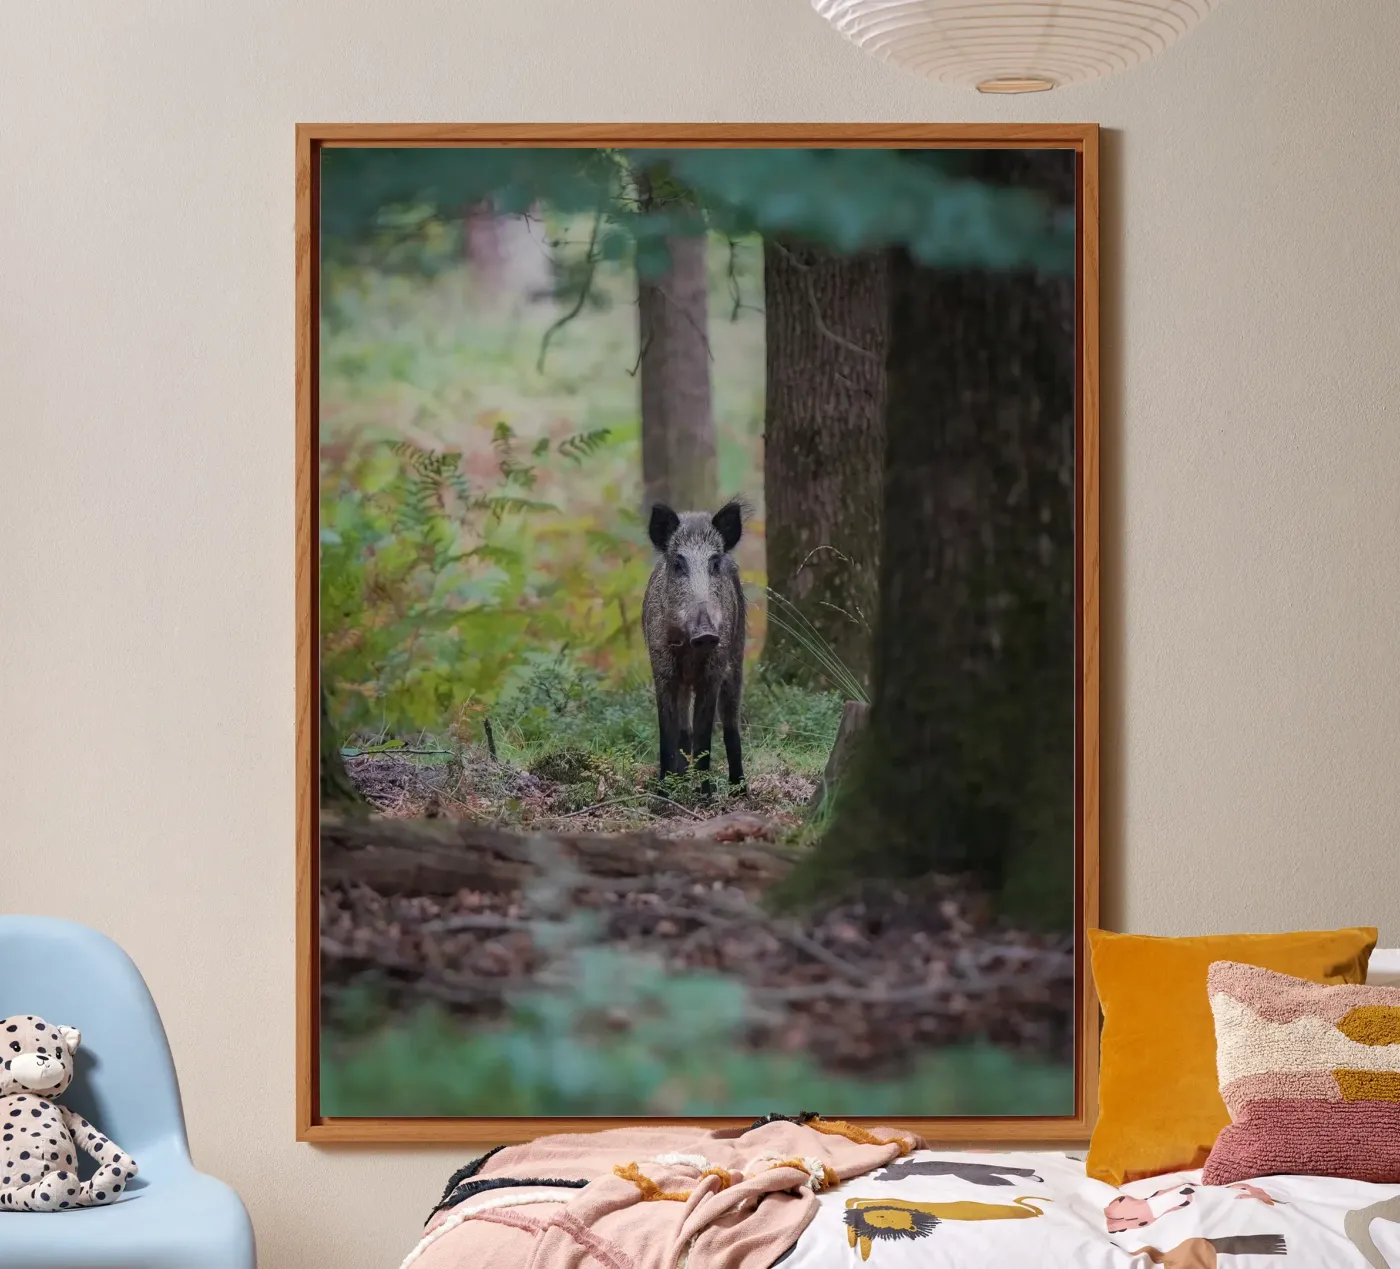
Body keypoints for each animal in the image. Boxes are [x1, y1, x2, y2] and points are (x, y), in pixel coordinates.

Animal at [642, 499, 746, 792]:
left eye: (714, 563)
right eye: (678, 563)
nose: (706, 633)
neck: (689, 651)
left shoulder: (714, 671)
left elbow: (704, 733)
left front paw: (705, 794)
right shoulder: (661, 668)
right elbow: (668, 731)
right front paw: (664, 793)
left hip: (737, 656)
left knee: (731, 724)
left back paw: (739, 788)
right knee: (683, 730)